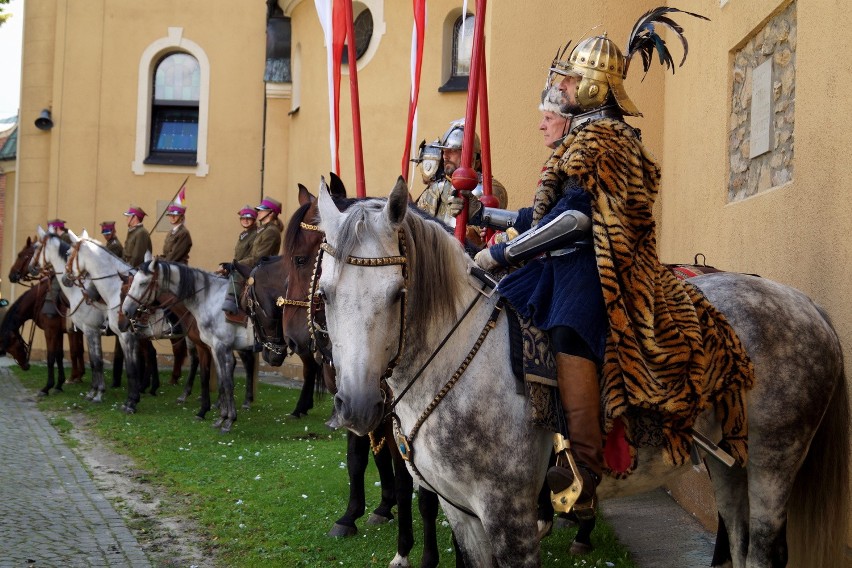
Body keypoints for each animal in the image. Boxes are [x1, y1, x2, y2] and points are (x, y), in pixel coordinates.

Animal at [31, 226, 143, 408]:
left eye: (36, 247)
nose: (30, 267)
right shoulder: (87, 331)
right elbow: (92, 360)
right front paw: (93, 391)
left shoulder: (91, 330)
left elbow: (97, 361)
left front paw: (98, 393)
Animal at [121, 258, 256, 430]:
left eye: (143, 283)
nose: (125, 313)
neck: (208, 302)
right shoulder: (203, 344)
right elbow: (210, 374)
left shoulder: (212, 346)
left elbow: (214, 377)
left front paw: (211, 412)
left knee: (248, 363)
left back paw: (247, 401)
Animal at [316, 180, 848, 568]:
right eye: (324, 293)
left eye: (397, 293)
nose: (356, 405)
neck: (455, 366)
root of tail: (809, 306)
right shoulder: (462, 515)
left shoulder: (509, 516)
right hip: (728, 461)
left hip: (774, 460)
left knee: (762, 551)